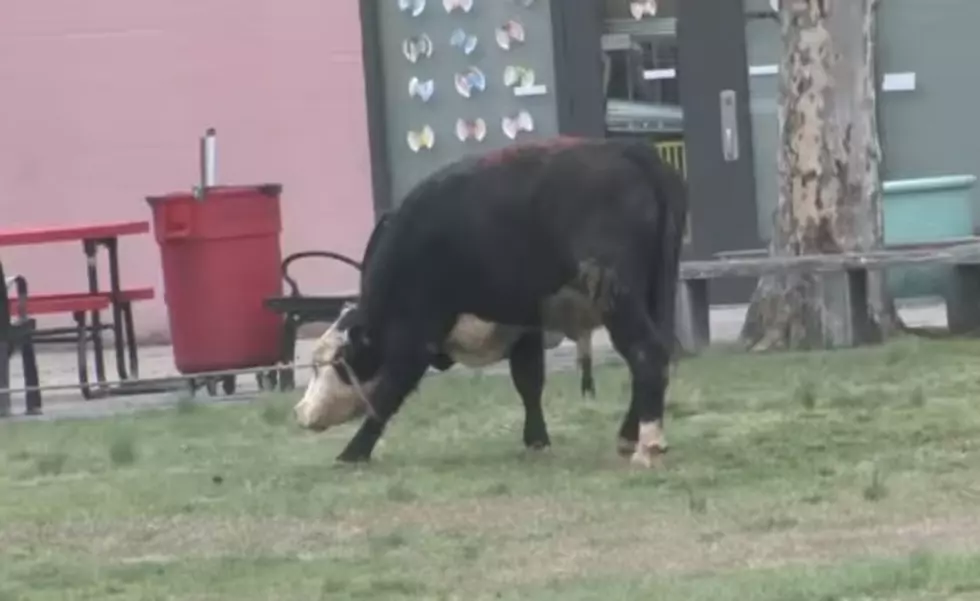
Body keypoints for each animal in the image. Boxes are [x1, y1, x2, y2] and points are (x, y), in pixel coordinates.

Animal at [326, 138, 684, 466]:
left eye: (340, 360)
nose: (313, 416)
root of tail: (626, 149)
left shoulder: (418, 329)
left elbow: (390, 389)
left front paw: (352, 452)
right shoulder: (525, 324)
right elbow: (528, 379)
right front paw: (537, 440)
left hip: (617, 296)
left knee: (646, 352)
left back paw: (647, 446)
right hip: (653, 295)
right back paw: (629, 435)